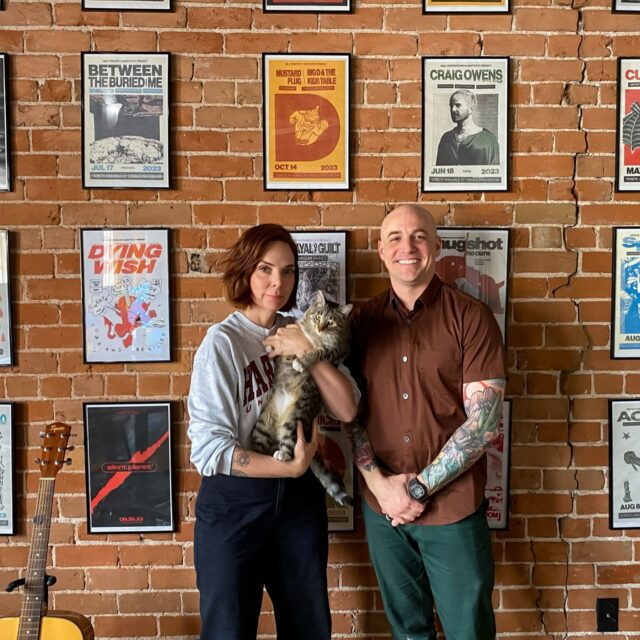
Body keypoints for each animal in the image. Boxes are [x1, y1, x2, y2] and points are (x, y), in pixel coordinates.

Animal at [252, 290, 356, 504]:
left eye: (330, 322)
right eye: (317, 317)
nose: (320, 327)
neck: (313, 335)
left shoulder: (335, 350)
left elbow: (317, 352)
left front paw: (300, 362)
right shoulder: (295, 326)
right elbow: (284, 333)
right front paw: (271, 347)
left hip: (295, 417)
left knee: (288, 445)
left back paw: (282, 454)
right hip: (263, 424)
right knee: (260, 445)